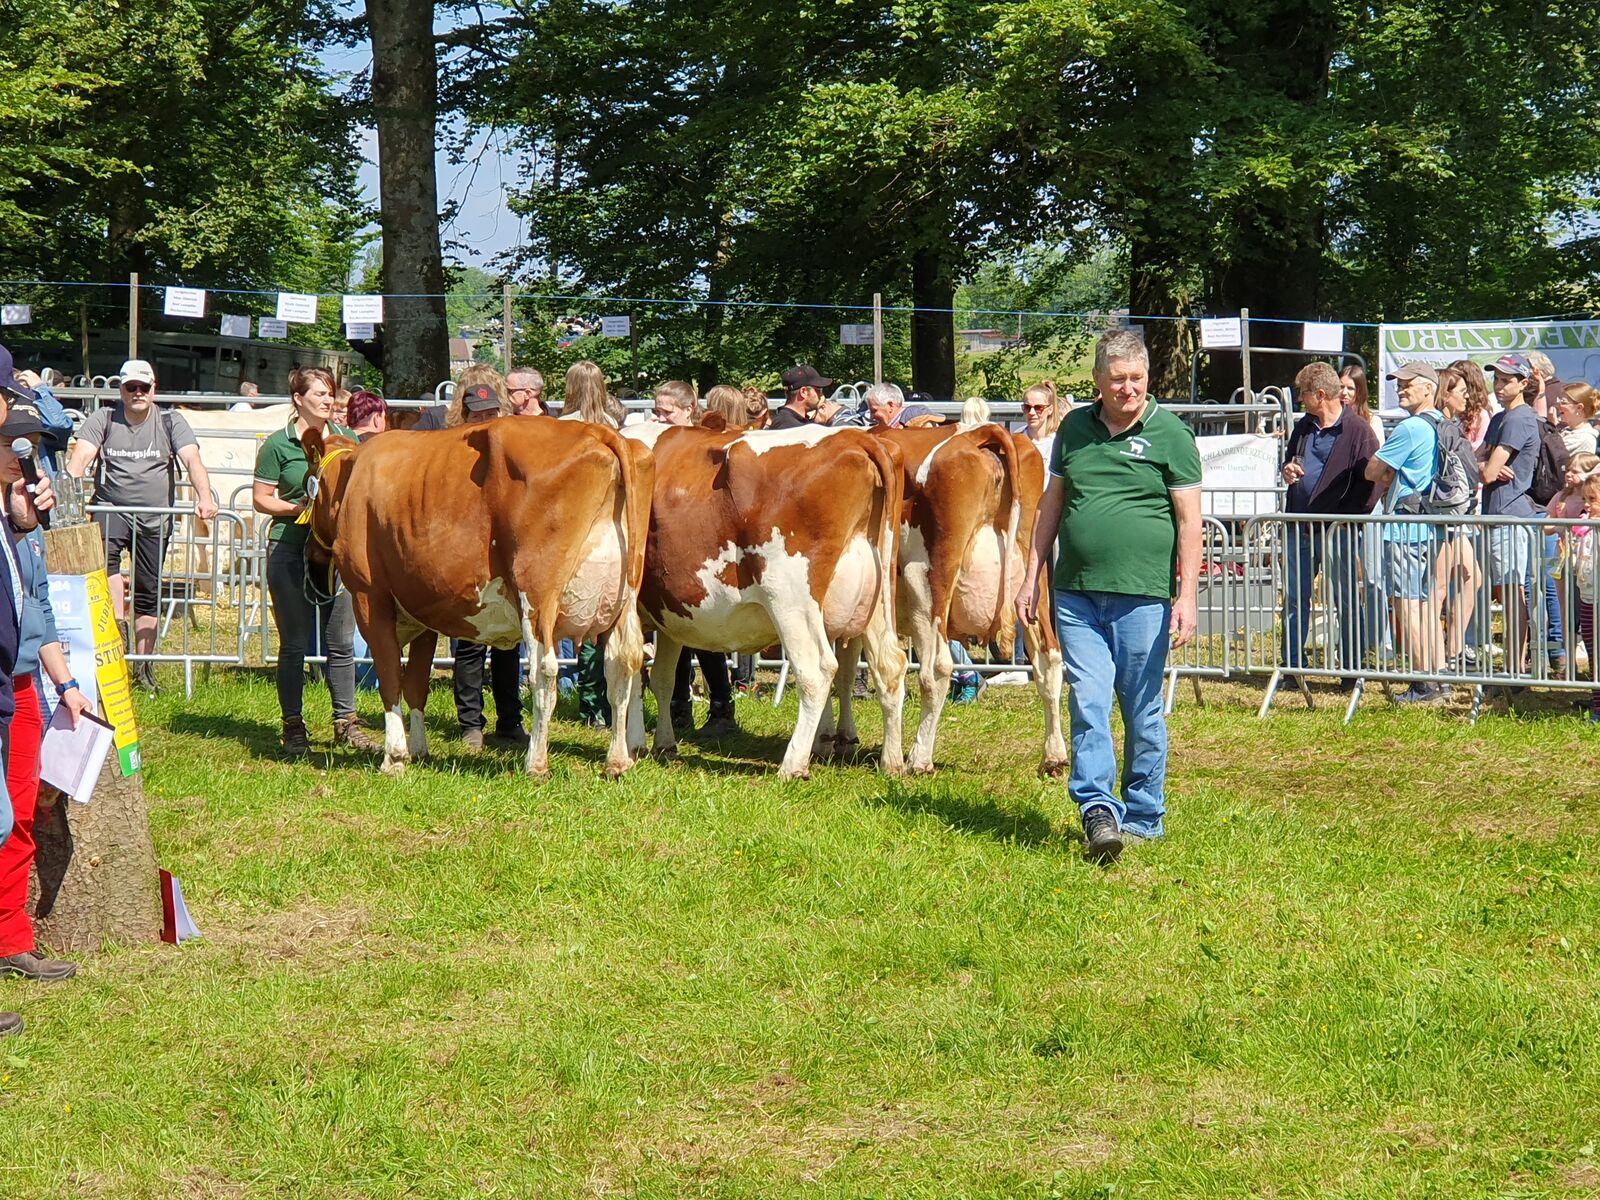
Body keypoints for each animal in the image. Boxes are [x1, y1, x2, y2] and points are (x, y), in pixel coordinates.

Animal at [617, 422, 908, 780]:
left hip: (791, 599)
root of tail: (855, 437)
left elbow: (633, 673)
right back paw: (892, 761)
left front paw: (634, 746)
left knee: (816, 670)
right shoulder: (670, 613)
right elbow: (662, 679)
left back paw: (793, 765)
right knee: (889, 665)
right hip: (876, 601)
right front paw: (663, 745)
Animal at [819, 428, 1068, 774]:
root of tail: (980, 434)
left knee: (936, 669)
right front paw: (840, 736)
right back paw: (1054, 756)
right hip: (1033, 590)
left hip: (926, 584)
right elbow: (844, 667)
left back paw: (919, 758)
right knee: (1049, 661)